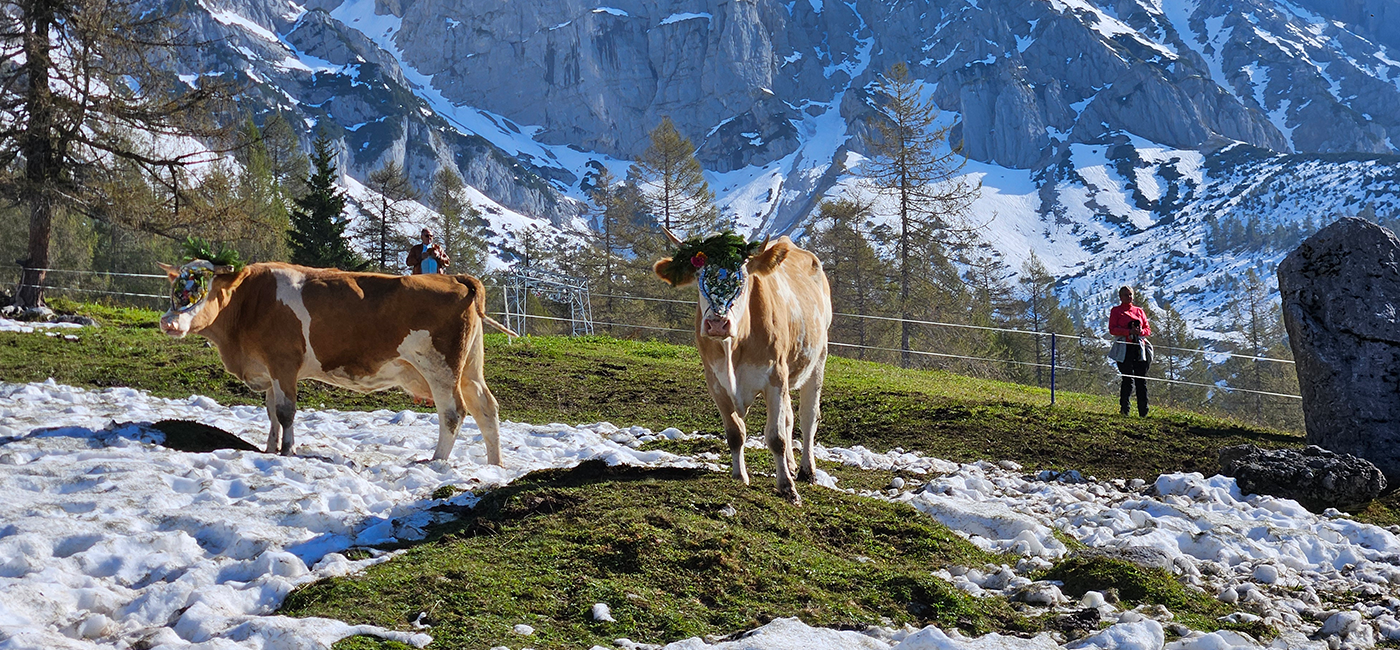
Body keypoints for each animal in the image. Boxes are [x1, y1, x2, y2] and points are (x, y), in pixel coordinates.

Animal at [156, 261, 515, 465]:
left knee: (453, 412)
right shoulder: (269, 370)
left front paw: (287, 452)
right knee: (486, 408)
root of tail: (454, 278)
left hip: (439, 366)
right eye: (174, 289)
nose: (168, 322)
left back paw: (436, 461)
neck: (250, 302)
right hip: (469, 369)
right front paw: (270, 449)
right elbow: (271, 412)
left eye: (199, 292)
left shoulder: (284, 362)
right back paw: (494, 465)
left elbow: (285, 412)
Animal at [655, 232, 828, 501]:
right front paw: (740, 476)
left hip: (818, 358)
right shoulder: (715, 382)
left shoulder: (775, 377)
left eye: (742, 277)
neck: (734, 348)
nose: (717, 324)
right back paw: (790, 464)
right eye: (699, 275)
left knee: (808, 417)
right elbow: (736, 433)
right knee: (789, 418)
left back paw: (806, 471)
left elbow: (776, 436)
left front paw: (787, 487)